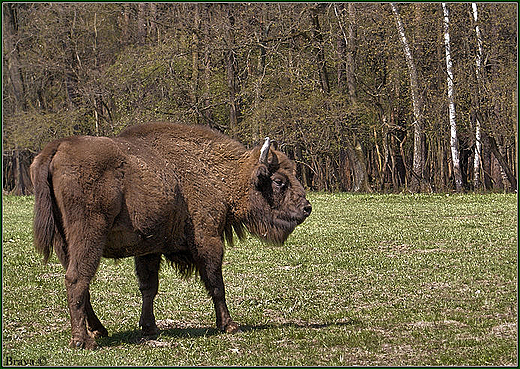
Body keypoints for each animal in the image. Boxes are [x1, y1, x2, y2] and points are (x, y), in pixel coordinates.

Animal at [30, 123, 310, 348]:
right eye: (279, 181)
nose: (306, 208)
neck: (217, 174)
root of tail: (57, 147)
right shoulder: (208, 240)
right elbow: (216, 284)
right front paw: (229, 325)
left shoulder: (149, 249)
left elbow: (149, 287)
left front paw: (150, 328)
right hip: (89, 235)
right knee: (77, 279)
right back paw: (83, 341)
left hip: (64, 243)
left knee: (80, 283)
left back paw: (99, 330)